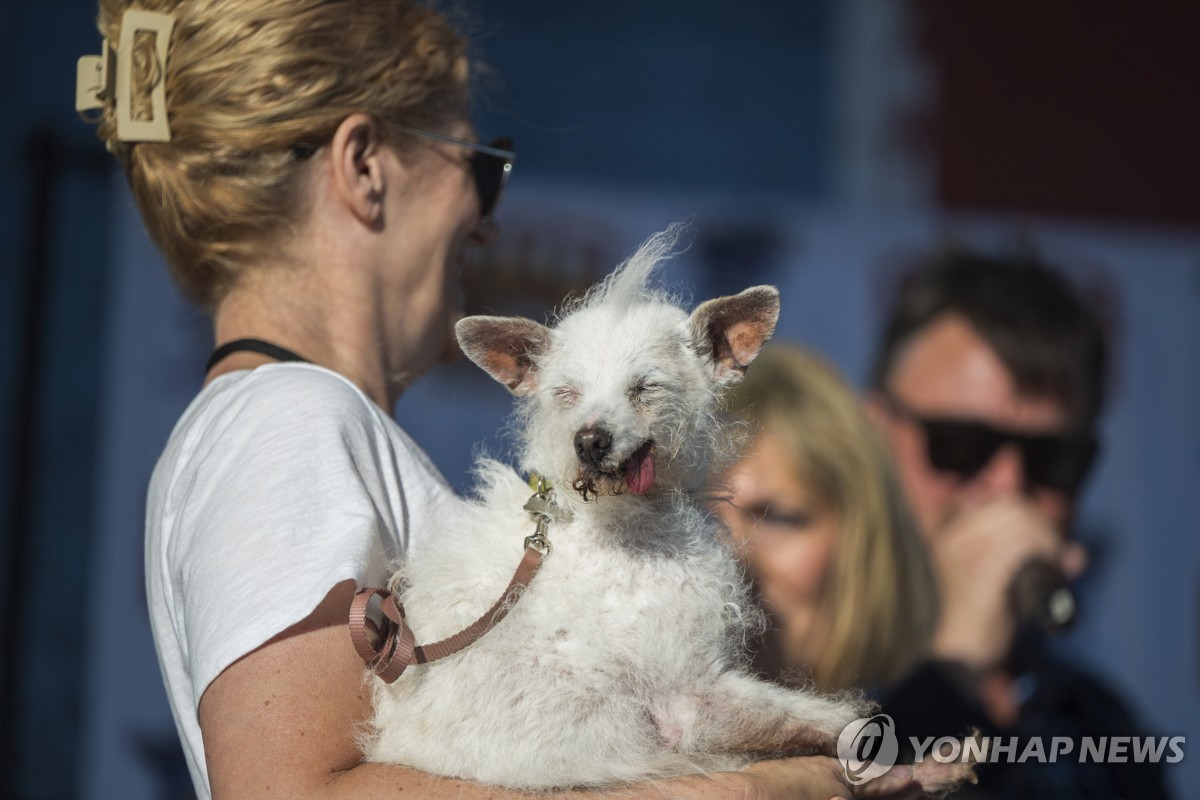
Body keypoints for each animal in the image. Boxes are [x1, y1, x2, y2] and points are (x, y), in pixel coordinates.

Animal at [360, 225, 868, 786]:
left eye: (645, 387)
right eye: (566, 393)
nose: (589, 440)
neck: (617, 520)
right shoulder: (689, 695)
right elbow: (817, 718)